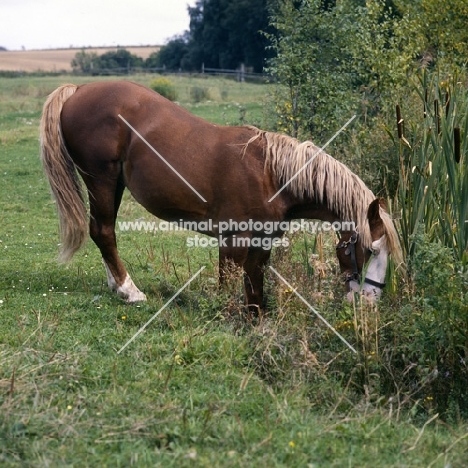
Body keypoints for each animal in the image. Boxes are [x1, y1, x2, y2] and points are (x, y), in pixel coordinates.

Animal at [39, 81, 402, 310]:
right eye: (370, 250)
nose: (369, 303)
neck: (272, 175)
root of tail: (78, 91)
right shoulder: (233, 242)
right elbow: (229, 287)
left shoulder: (261, 244)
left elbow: (255, 291)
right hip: (100, 179)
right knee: (103, 231)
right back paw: (130, 290)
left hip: (114, 184)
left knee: (104, 232)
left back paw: (117, 285)